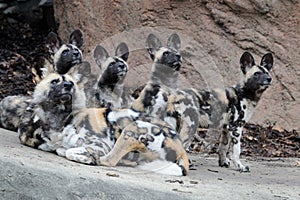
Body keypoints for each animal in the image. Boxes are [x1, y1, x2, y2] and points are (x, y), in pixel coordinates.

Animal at [17, 72, 189, 176]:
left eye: (70, 82)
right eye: (54, 82)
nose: (69, 86)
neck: (59, 120)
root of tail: (181, 147)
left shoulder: (101, 145)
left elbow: (69, 151)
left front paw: (86, 157)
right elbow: (63, 149)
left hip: (132, 128)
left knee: (109, 161)